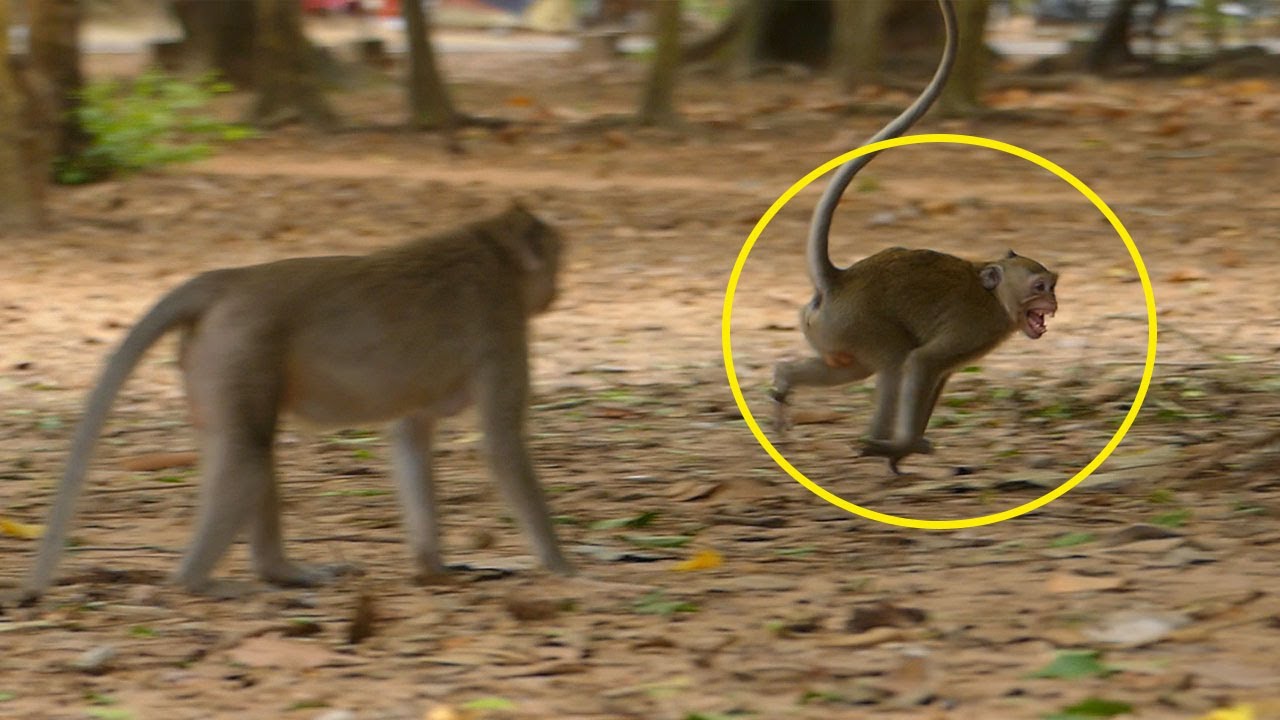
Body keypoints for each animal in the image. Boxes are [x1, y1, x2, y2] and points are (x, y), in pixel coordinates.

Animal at [22, 203, 573, 603]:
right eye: (556, 261)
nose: (557, 291)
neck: (491, 251)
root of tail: (234, 278)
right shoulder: (500, 329)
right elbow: (502, 444)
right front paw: (563, 565)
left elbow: (410, 439)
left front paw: (431, 566)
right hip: (242, 350)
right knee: (247, 456)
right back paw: (198, 582)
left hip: (211, 361)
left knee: (248, 448)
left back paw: (283, 573)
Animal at [770, 0, 1060, 473]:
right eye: (1038, 287)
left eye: (1052, 286)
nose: (1052, 305)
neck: (995, 297)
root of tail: (839, 279)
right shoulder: (976, 325)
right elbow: (922, 362)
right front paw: (905, 445)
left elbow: (938, 375)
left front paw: (912, 445)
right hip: (858, 324)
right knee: (892, 362)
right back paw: (877, 441)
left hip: (829, 331)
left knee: (852, 369)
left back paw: (783, 381)